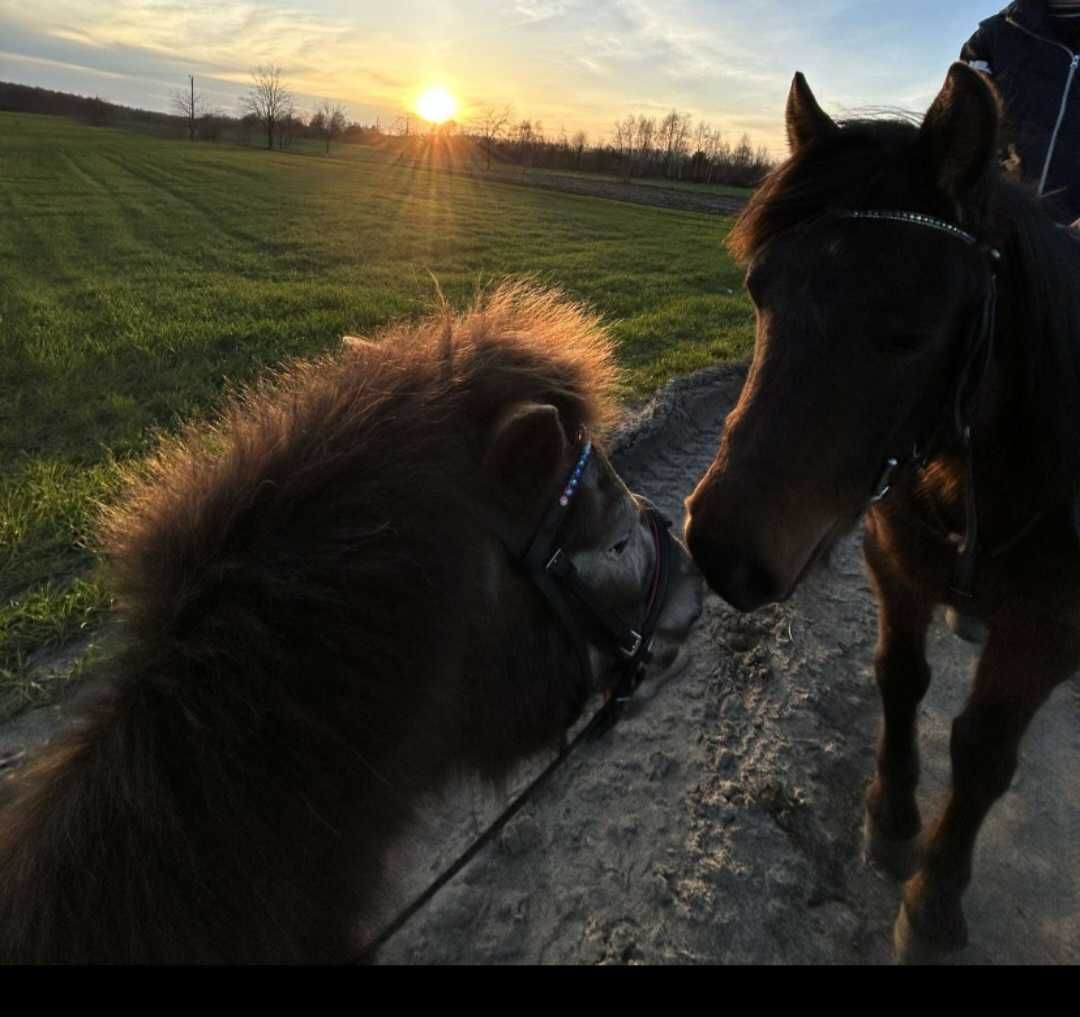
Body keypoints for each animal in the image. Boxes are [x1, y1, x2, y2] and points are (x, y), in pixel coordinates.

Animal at [686, 65, 1080, 963]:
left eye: (912, 330)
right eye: (759, 289)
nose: (720, 547)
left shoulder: (1049, 629)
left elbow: (983, 748)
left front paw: (935, 896)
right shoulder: (895, 562)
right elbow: (900, 679)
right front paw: (892, 821)